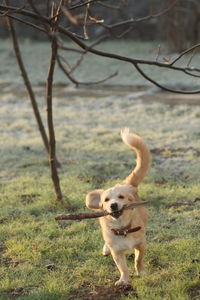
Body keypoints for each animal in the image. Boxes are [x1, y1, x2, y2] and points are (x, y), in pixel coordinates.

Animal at [85, 128, 151, 286]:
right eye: (106, 200)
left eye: (121, 197)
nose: (113, 205)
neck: (123, 229)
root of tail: (125, 184)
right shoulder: (117, 252)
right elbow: (123, 268)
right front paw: (123, 280)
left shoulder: (141, 244)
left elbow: (138, 259)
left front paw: (141, 271)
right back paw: (105, 249)